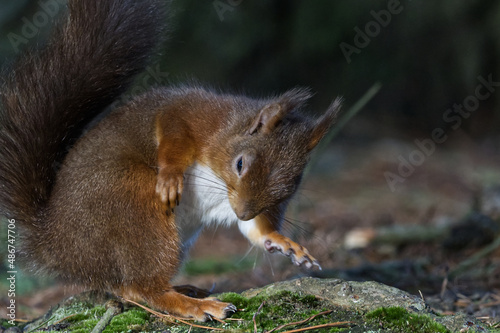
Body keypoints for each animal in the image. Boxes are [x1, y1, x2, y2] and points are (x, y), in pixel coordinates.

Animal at [0, 0, 340, 322]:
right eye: (240, 164)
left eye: (293, 184)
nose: (243, 212)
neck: (228, 130)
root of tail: (55, 242)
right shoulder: (190, 114)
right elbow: (172, 132)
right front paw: (171, 177)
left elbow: (256, 231)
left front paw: (282, 241)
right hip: (133, 204)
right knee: (142, 288)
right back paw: (195, 305)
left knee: (128, 285)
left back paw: (187, 289)